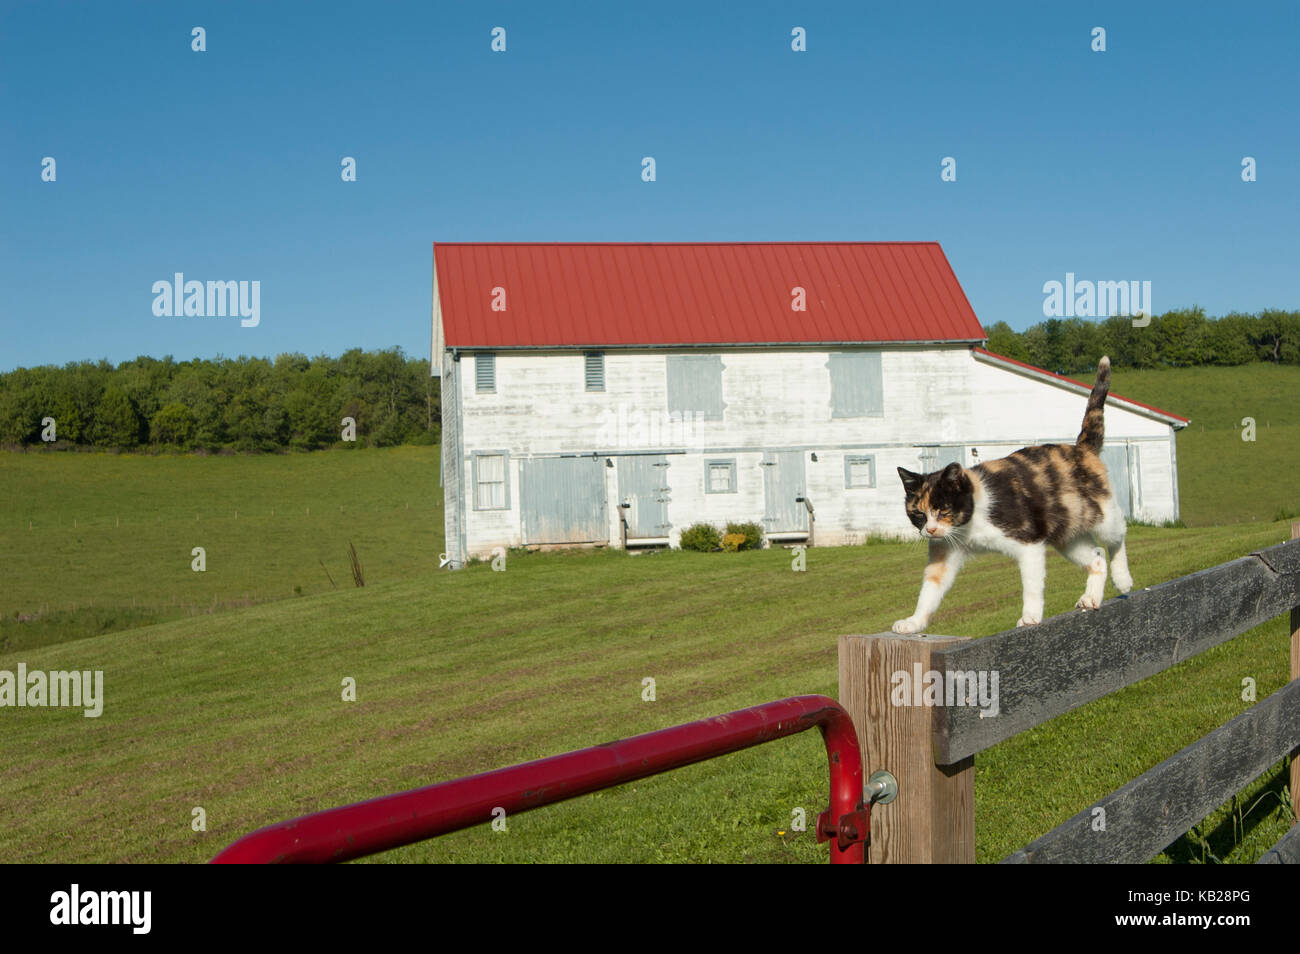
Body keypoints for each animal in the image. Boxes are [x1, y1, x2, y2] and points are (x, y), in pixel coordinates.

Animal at [889, 358, 1133, 634]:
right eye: (918, 514)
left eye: (944, 509)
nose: (930, 530)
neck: (971, 523)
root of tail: (1082, 448)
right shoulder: (945, 552)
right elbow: (930, 590)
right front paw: (913, 622)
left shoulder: (1029, 543)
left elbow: (1032, 586)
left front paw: (1030, 617)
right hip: (1067, 536)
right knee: (1097, 557)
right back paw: (1091, 597)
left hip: (1103, 516)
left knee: (1117, 536)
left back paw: (1123, 580)